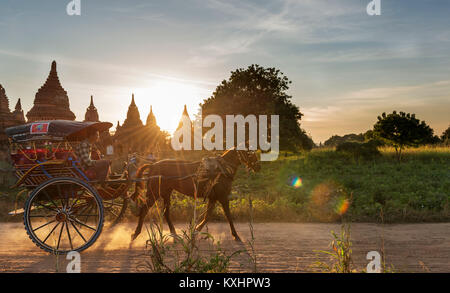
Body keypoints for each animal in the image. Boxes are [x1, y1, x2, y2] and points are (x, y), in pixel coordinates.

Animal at [130, 148, 260, 242]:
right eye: (250, 153)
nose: (258, 167)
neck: (221, 170)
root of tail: (153, 165)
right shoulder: (222, 197)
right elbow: (228, 216)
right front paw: (235, 235)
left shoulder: (213, 198)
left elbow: (207, 216)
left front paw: (195, 231)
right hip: (154, 193)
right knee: (144, 210)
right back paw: (135, 233)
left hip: (166, 192)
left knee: (166, 213)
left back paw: (174, 233)